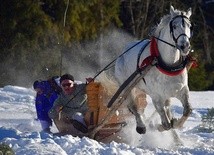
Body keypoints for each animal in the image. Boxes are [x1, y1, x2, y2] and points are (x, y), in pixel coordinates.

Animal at [114, 6, 193, 134]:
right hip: (128, 87)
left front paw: (176, 122)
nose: (185, 46)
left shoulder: (182, 90)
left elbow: (187, 110)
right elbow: (166, 124)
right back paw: (141, 126)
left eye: (189, 26)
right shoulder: (156, 96)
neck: (168, 65)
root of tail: (122, 53)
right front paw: (158, 126)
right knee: (134, 106)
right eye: (174, 26)